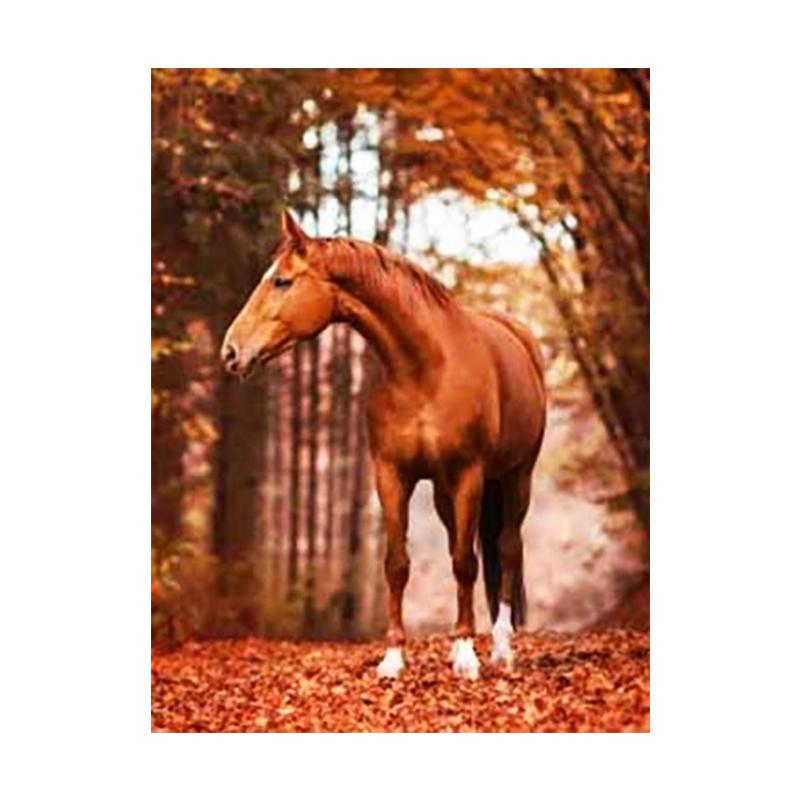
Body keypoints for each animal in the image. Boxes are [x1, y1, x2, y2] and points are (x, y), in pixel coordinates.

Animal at [222, 211, 546, 679]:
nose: (230, 351)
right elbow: (398, 564)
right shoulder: (392, 475)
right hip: (446, 493)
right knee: (467, 545)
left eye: (282, 281)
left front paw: (467, 655)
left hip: (516, 477)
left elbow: (466, 563)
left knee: (507, 548)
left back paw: (501, 648)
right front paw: (394, 657)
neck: (424, 370)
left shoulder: (468, 474)